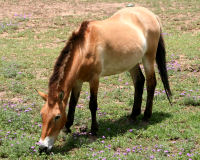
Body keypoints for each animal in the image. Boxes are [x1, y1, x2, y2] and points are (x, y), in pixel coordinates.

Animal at [37, 6, 172, 151]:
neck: (85, 46)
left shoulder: (94, 79)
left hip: (148, 57)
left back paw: (146, 116)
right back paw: (133, 115)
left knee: (151, 83)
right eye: (42, 114)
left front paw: (94, 130)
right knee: (139, 82)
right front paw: (67, 127)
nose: (42, 147)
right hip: (132, 62)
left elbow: (92, 104)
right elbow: (73, 103)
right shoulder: (77, 81)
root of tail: (151, 14)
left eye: (57, 116)